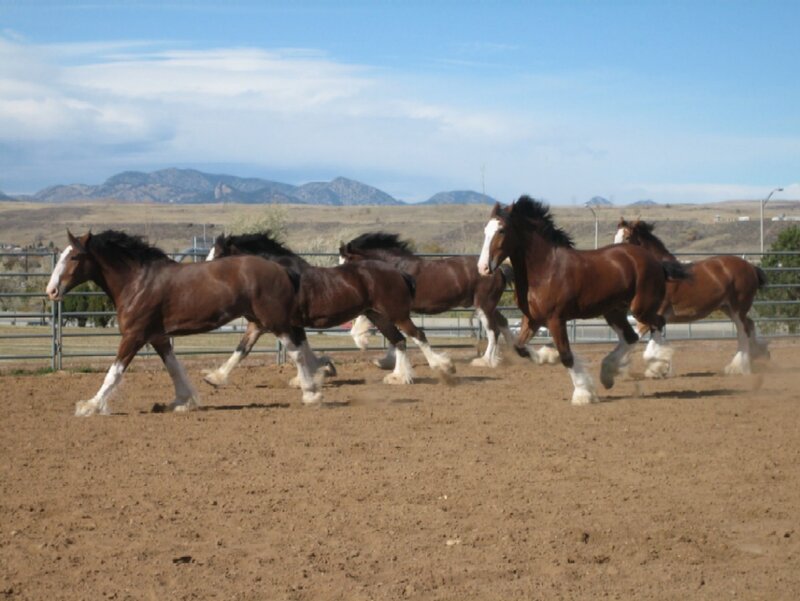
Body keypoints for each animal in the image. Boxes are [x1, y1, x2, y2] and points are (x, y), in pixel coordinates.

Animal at [45, 230, 322, 416]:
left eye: (75, 257)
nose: (51, 290)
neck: (138, 282)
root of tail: (281, 269)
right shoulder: (157, 337)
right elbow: (173, 367)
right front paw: (182, 401)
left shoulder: (134, 336)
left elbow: (114, 373)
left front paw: (89, 406)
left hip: (274, 320)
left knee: (296, 352)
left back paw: (311, 392)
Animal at [206, 232, 454, 385]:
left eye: (218, 255)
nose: (206, 276)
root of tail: (399, 273)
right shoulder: (262, 324)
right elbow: (243, 349)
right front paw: (215, 377)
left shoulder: (281, 323)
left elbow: (297, 349)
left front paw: (314, 373)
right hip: (379, 316)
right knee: (399, 340)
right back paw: (399, 377)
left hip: (396, 313)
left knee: (417, 335)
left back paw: (441, 367)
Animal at [338, 232, 541, 368]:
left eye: (346, 260)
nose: (344, 281)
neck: (395, 267)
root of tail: (498, 270)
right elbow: (391, 335)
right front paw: (386, 360)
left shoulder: (392, 307)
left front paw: (364, 342)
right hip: (487, 305)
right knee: (503, 323)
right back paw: (519, 353)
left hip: (484, 305)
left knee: (493, 331)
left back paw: (485, 361)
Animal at [477, 196, 688, 405]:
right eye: (485, 230)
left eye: (501, 230)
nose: (483, 268)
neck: (545, 269)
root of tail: (655, 260)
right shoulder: (532, 319)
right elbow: (519, 347)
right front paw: (548, 356)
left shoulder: (555, 320)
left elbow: (567, 356)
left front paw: (582, 393)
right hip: (613, 311)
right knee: (631, 337)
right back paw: (608, 373)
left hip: (640, 308)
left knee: (657, 323)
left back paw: (657, 365)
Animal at [615, 218, 769, 374]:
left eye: (627, 237)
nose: (616, 259)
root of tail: (751, 267)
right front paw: (660, 368)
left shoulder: (649, 316)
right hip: (728, 308)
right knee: (749, 325)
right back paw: (756, 354)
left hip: (738, 308)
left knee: (743, 330)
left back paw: (737, 367)